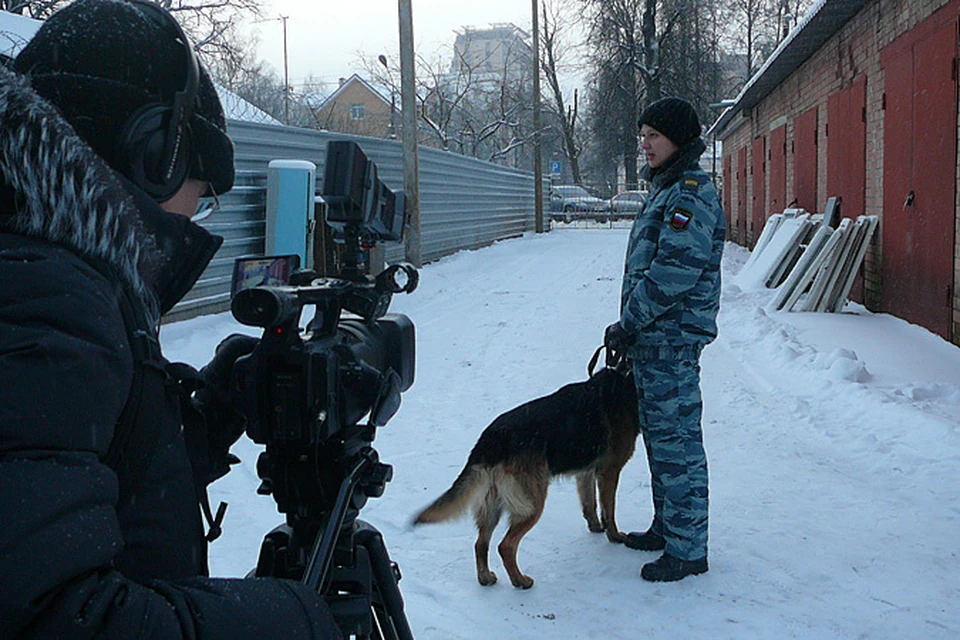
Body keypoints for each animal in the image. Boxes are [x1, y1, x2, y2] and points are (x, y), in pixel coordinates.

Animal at [412, 362, 636, 588]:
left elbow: (590, 504)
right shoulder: (609, 472)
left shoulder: (586, 473)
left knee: (480, 543)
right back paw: (520, 581)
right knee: (506, 546)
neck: (626, 382)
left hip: (493, 504)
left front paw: (596, 527)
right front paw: (614, 536)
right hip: (531, 504)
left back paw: (486, 578)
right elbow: (609, 509)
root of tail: (489, 441)